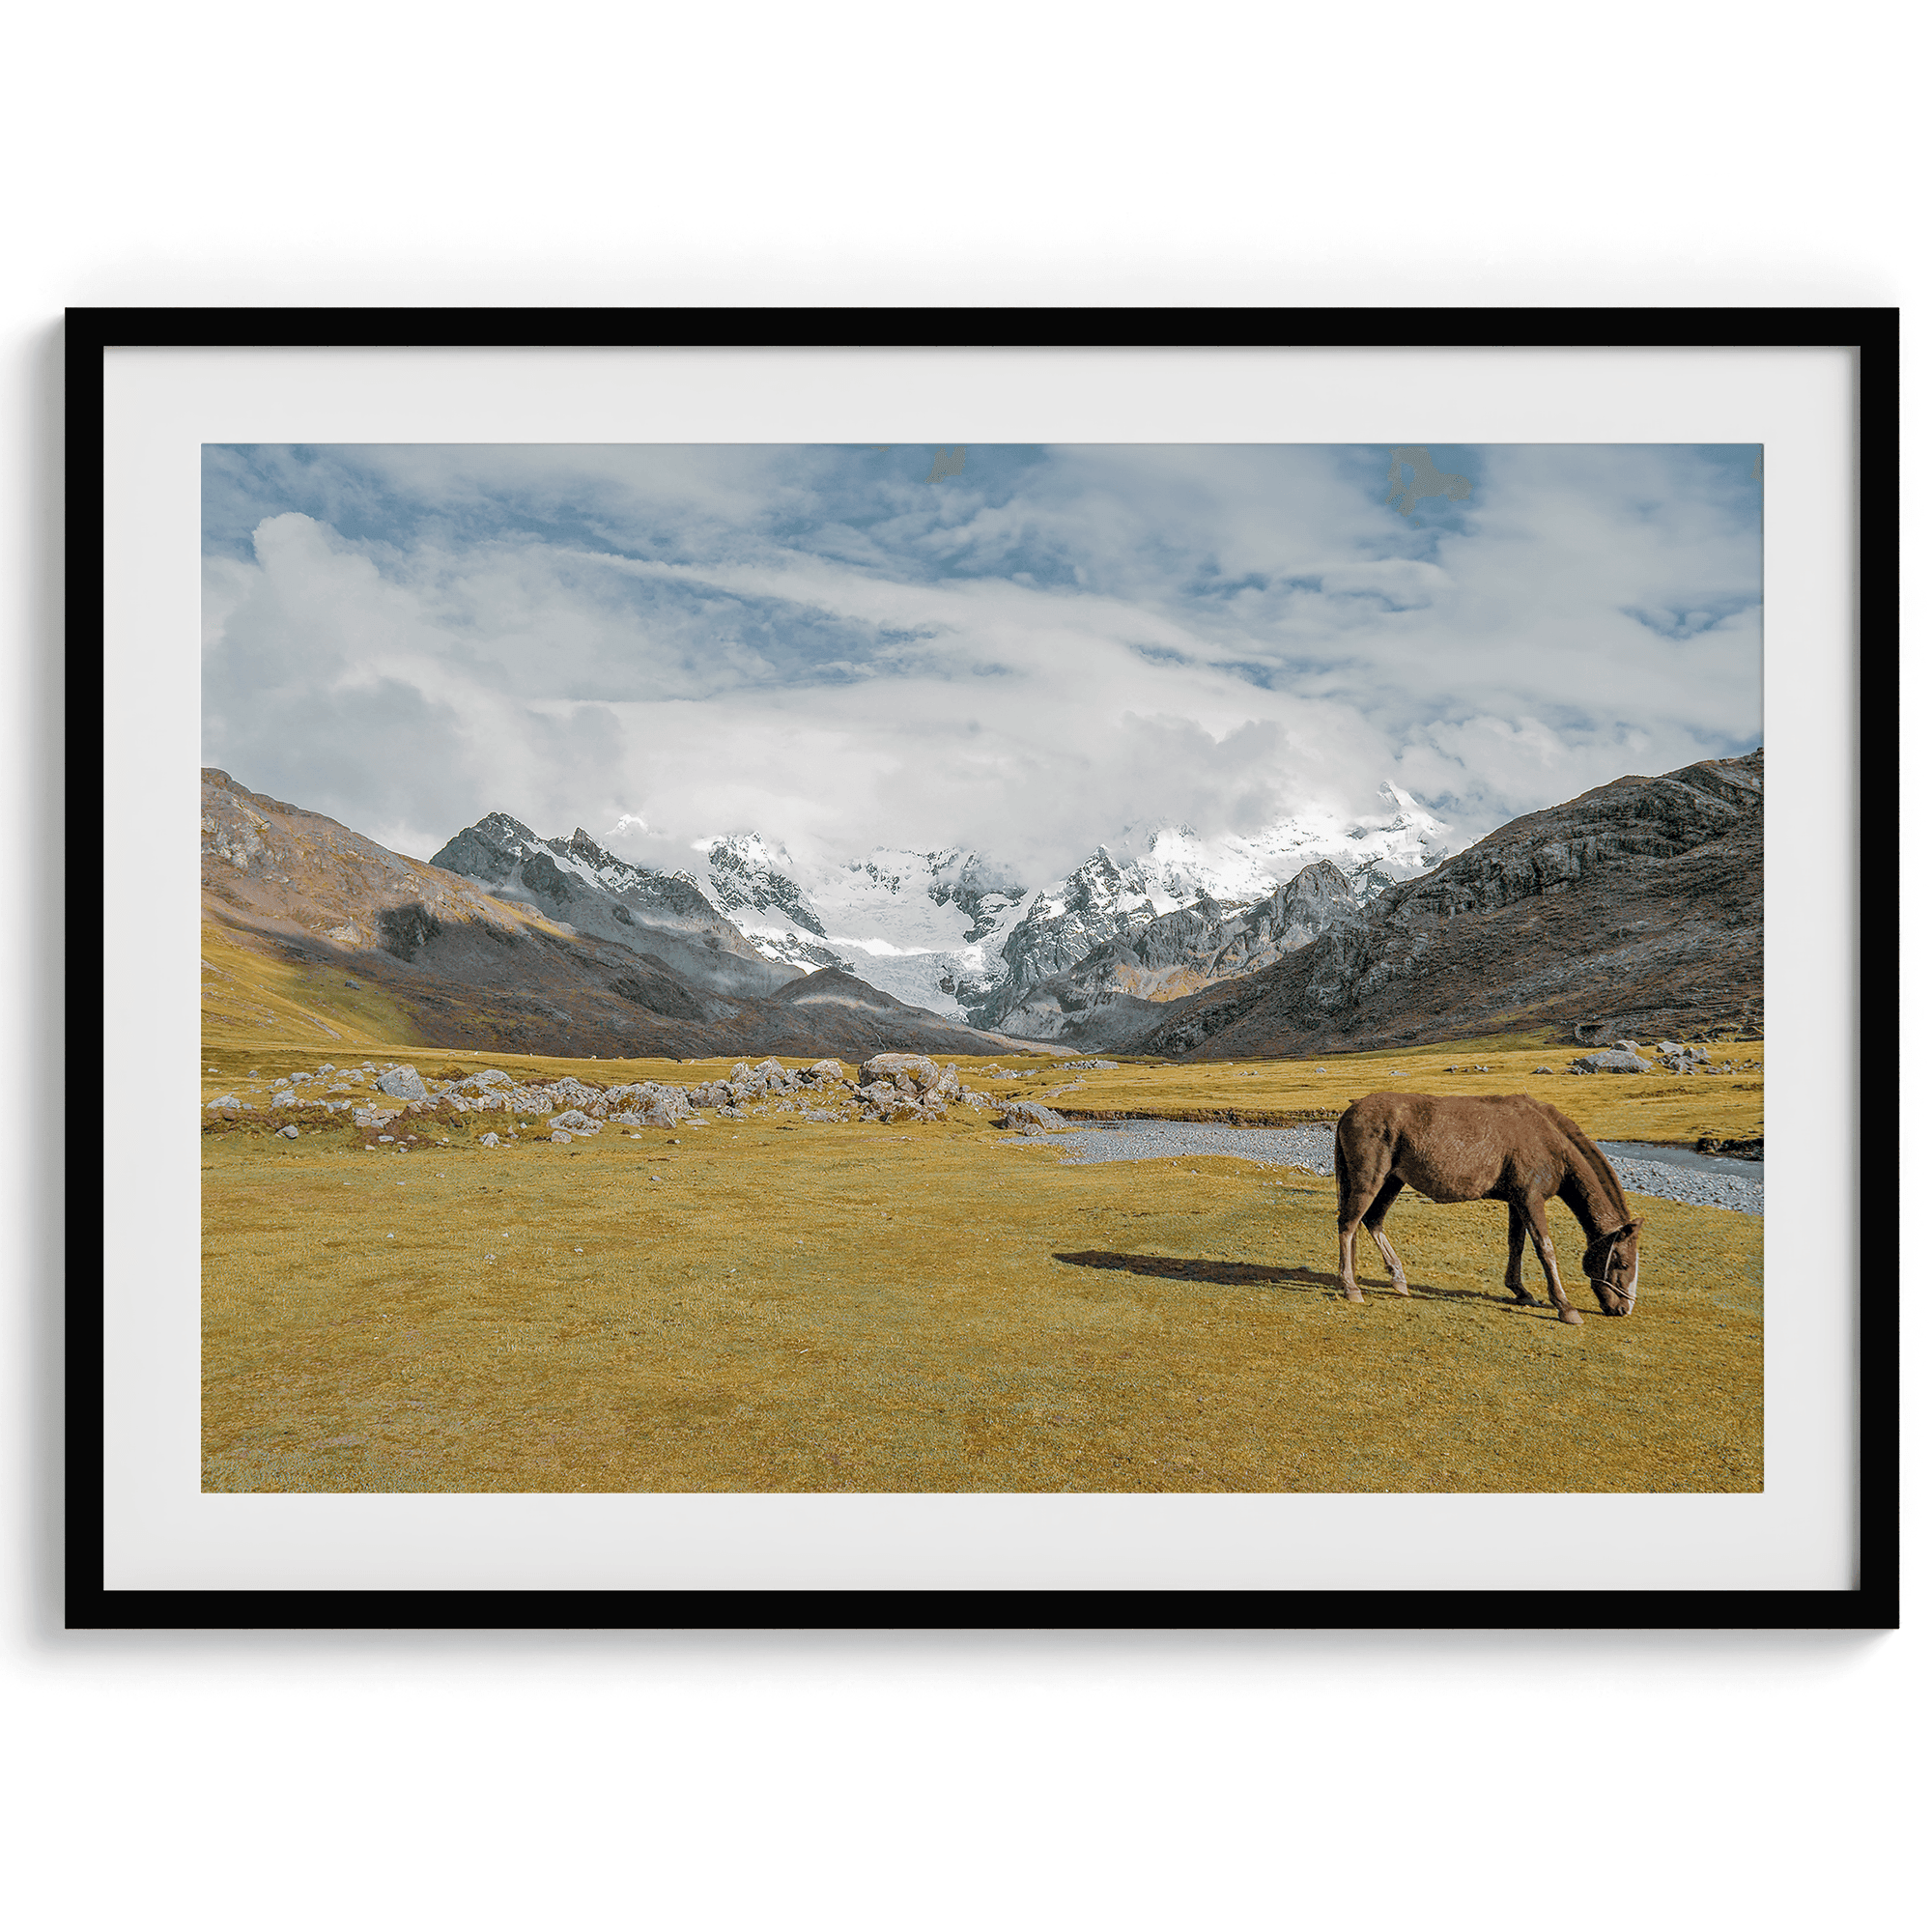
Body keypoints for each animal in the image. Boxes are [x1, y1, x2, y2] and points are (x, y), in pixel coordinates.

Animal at [1345, 1097, 1646, 1321]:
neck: (1548, 1140)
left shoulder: (1517, 1201)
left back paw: (1398, 1278)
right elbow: (1545, 1249)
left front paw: (1521, 1291)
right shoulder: (1531, 1200)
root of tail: (1351, 1110)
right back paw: (1351, 1287)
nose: (1623, 1309)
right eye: (1623, 1263)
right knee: (1348, 1225)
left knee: (1372, 1221)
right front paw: (1565, 1306)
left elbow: (1517, 1244)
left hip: (1392, 1181)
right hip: (1369, 1180)